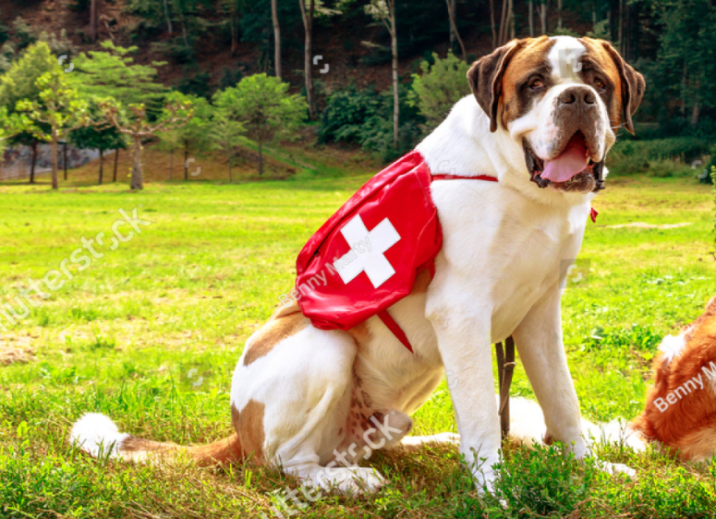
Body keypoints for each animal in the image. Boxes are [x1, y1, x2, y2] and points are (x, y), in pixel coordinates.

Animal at [72, 36, 648, 496]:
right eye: (534, 83)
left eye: (597, 80)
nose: (576, 97)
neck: (519, 185)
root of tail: (238, 433)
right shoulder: (461, 315)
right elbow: (484, 413)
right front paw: (496, 490)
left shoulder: (539, 315)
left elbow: (562, 400)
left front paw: (588, 468)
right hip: (324, 347)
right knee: (286, 463)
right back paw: (344, 480)